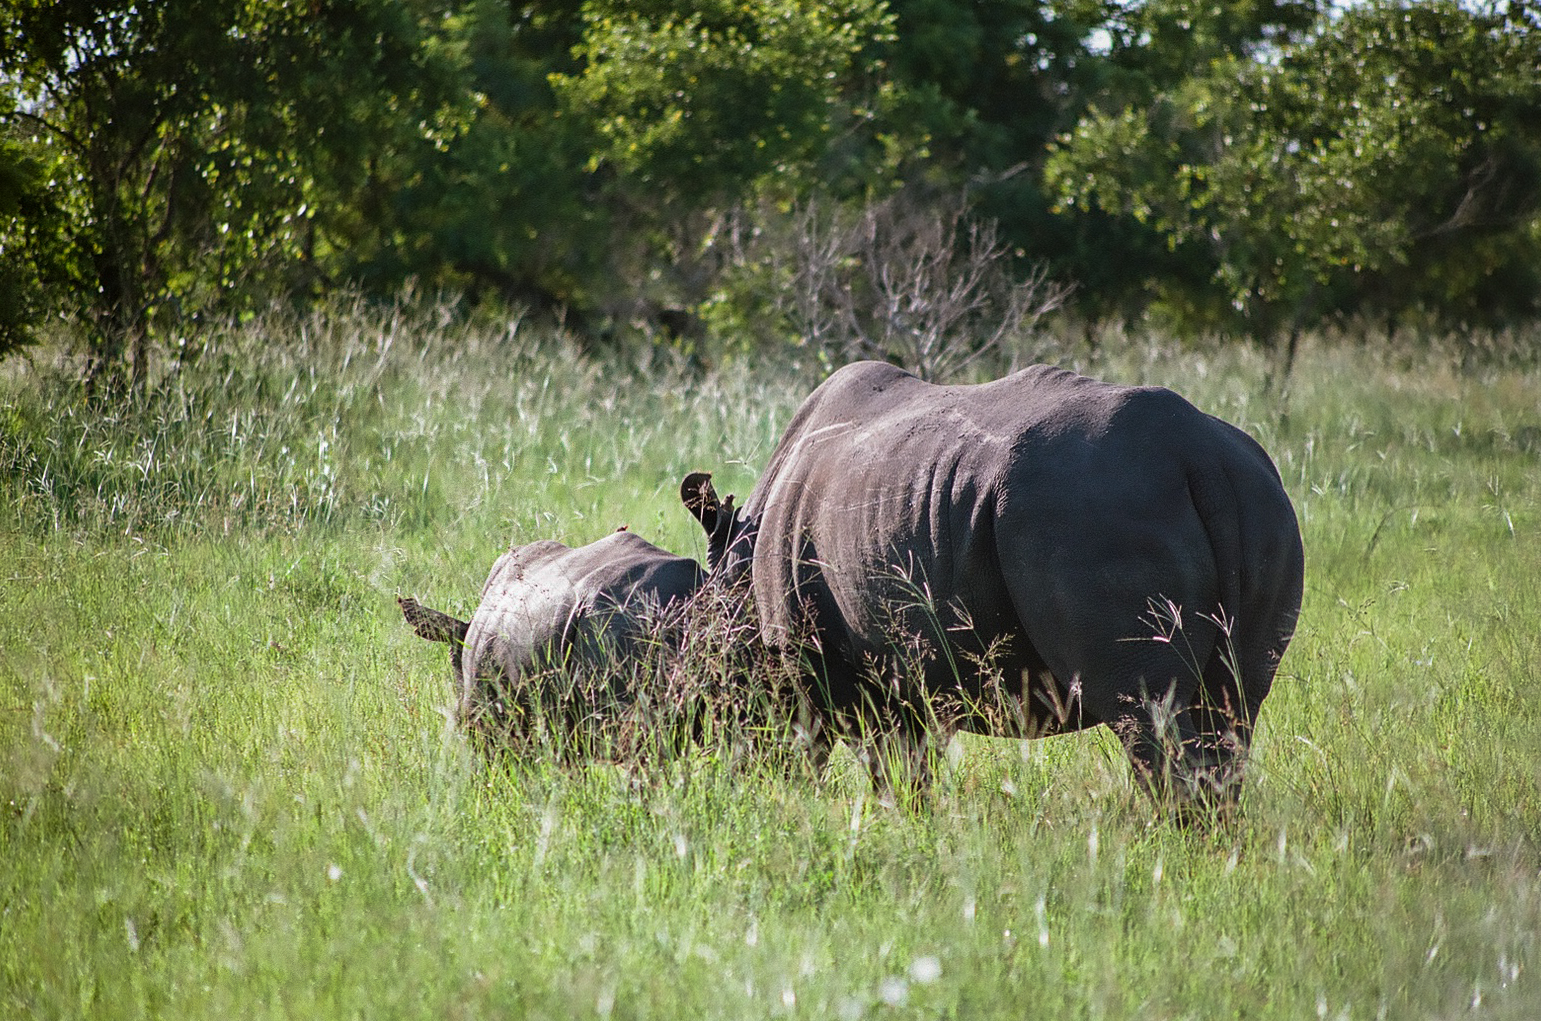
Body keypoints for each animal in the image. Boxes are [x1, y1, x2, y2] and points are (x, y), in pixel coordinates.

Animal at [683, 360, 1304, 812]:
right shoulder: (902, 673)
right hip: (1261, 499)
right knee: (1235, 709)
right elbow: (906, 772)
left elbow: (820, 749)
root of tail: (1199, 457)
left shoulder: (801, 654)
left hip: (1093, 512)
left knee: (1147, 714)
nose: (725, 769)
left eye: (715, 674)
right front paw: (909, 828)